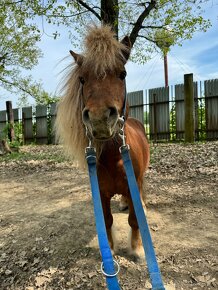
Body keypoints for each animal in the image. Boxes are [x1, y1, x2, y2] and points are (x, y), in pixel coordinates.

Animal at [55, 25, 149, 258]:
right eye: (82, 79)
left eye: (122, 74)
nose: (99, 119)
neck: (115, 158)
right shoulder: (102, 194)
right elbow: (107, 221)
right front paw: (111, 249)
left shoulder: (134, 184)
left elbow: (134, 220)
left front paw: (137, 249)